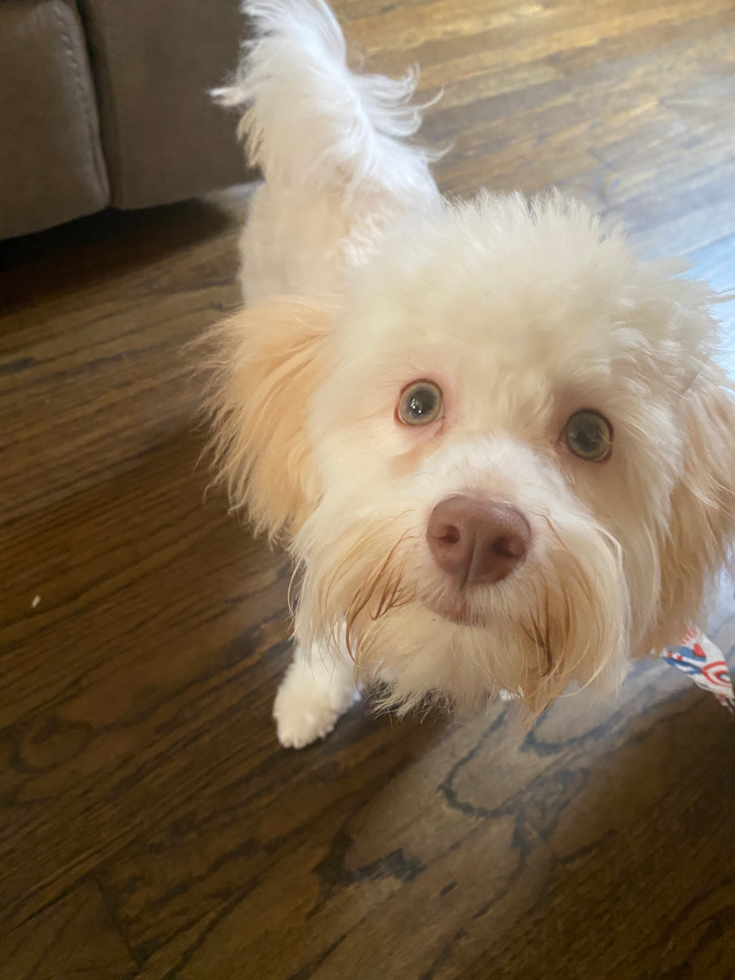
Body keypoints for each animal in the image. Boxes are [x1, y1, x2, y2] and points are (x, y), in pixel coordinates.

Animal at [206, 0, 735, 748]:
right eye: (418, 403)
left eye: (589, 435)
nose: (481, 535)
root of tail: (352, 154)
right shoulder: (331, 530)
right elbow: (324, 632)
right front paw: (310, 698)